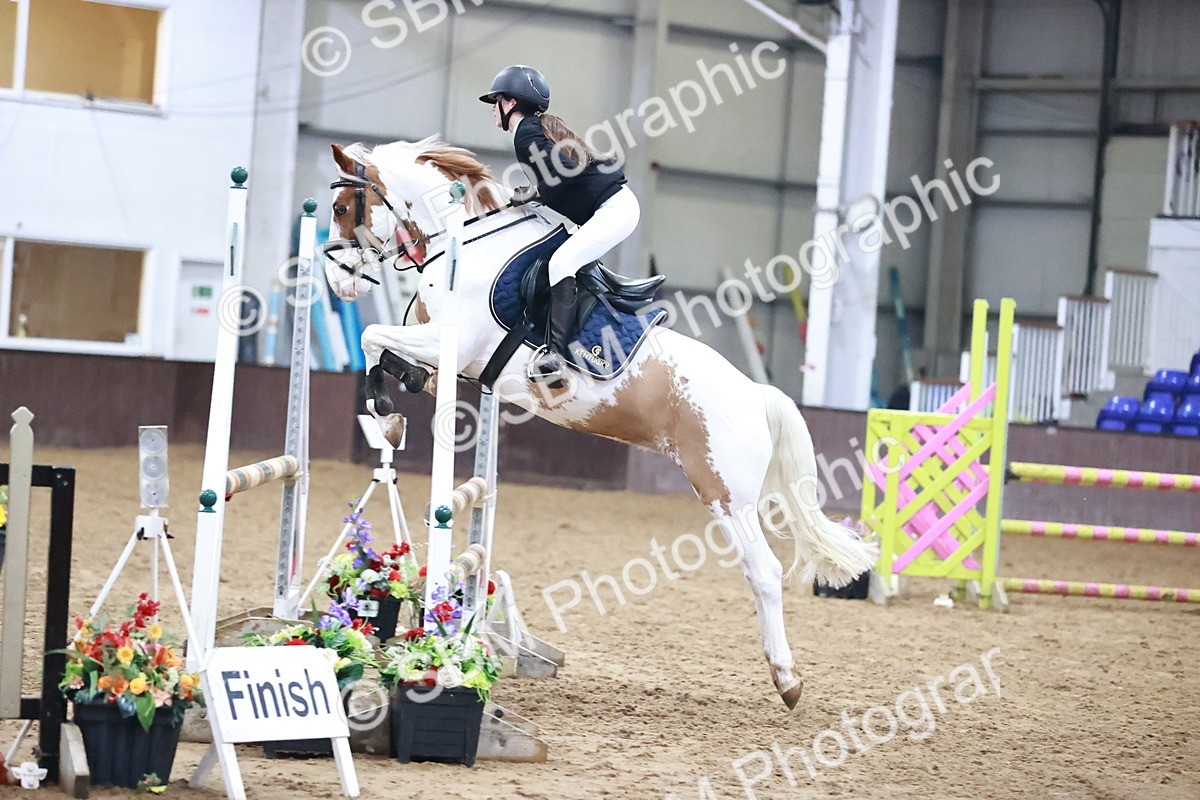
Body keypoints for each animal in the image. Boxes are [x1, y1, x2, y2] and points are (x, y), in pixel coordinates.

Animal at [322, 136, 876, 709]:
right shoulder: (443, 356)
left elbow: (370, 335)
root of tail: (757, 395)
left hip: (725, 492)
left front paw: (384, 409)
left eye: (341, 208)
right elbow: (388, 352)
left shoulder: (451, 343)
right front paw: (393, 405)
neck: (465, 245)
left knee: (763, 571)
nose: (339, 282)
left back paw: (787, 679)